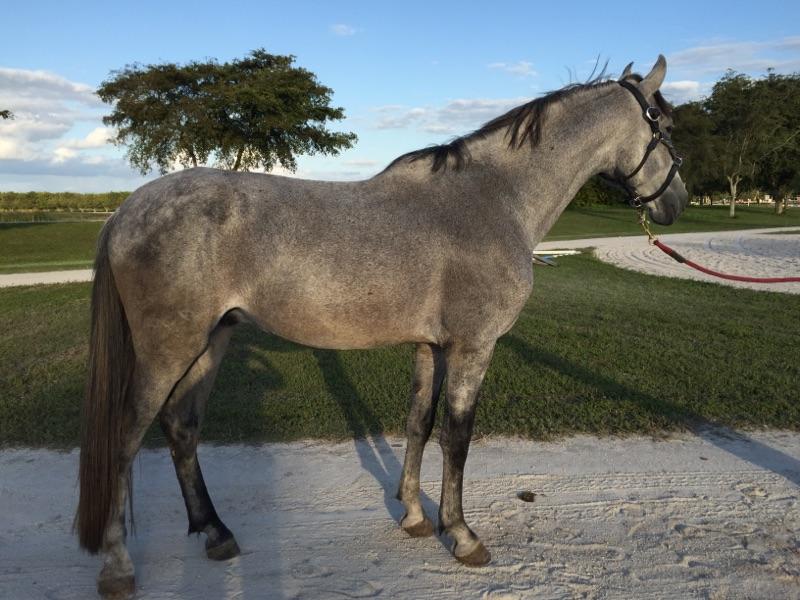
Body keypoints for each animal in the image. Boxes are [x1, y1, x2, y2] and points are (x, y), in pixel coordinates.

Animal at [76, 55, 688, 596]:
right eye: (664, 125)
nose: (677, 203)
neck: (494, 199)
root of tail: (125, 211)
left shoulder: (431, 346)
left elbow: (419, 423)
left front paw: (415, 515)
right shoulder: (473, 347)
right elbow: (458, 437)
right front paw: (462, 535)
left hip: (212, 342)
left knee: (181, 427)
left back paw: (217, 533)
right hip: (167, 351)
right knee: (124, 440)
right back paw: (118, 568)